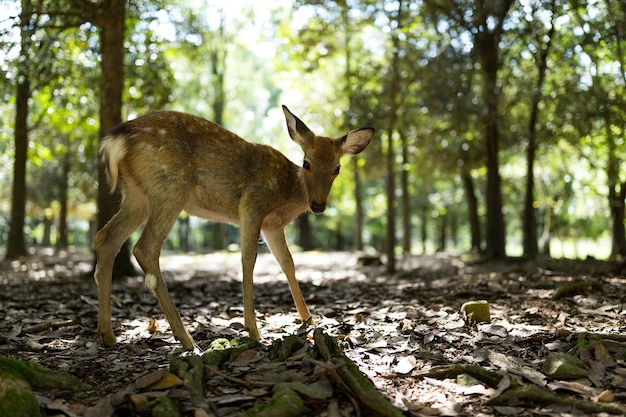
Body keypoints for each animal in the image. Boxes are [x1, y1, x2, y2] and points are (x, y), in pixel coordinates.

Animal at [94, 105, 376, 350]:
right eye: (307, 163)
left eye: (337, 168)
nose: (318, 205)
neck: (287, 197)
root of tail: (117, 139)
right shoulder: (252, 205)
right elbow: (248, 259)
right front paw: (253, 330)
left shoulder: (273, 226)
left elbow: (288, 263)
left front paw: (309, 320)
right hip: (170, 187)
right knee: (145, 248)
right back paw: (187, 339)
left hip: (137, 194)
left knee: (106, 237)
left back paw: (108, 335)